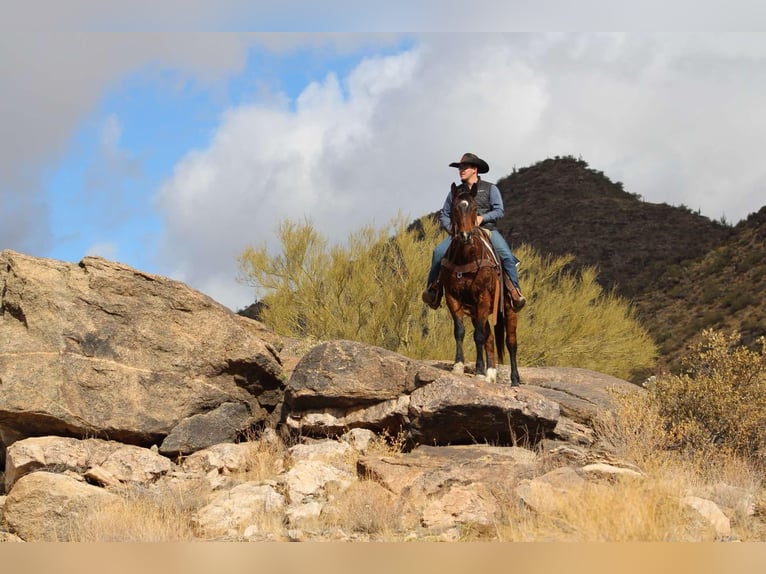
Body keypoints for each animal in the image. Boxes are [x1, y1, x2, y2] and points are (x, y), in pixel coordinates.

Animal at [438, 186, 520, 388]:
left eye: (475, 208)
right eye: (455, 208)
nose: (465, 236)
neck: (466, 258)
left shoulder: (483, 298)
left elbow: (479, 336)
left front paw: (479, 371)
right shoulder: (453, 298)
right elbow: (460, 331)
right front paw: (458, 365)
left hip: (509, 309)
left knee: (511, 342)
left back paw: (514, 380)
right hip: (477, 312)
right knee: (490, 338)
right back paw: (491, 374)